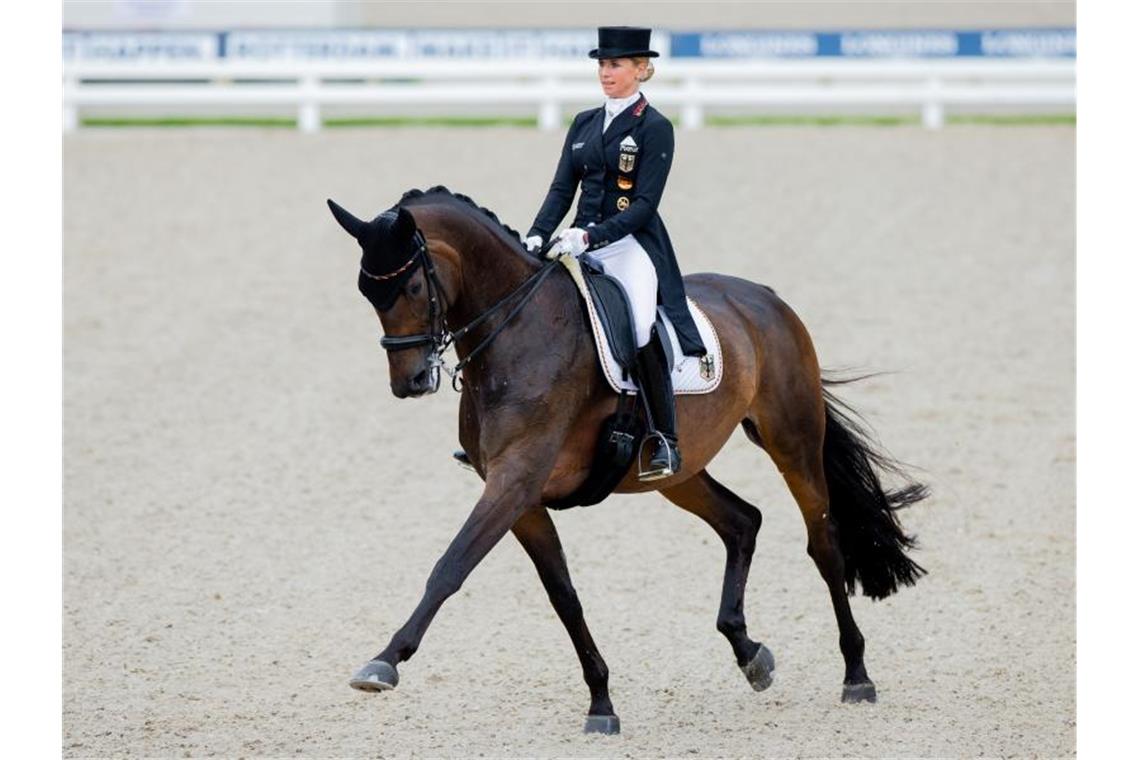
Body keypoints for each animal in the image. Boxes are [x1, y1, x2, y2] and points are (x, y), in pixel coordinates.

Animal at [328, 186, 925, 733]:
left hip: (792, 442)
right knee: (742, 521)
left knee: (823, 543)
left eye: (410, 286)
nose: (409, 382)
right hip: (678, 471)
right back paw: (750, 653)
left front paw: (384, 662)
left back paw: (856, 675)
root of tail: (764, 298)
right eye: (365, 291)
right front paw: (601, 703)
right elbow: (563, 596)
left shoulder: (514, 481)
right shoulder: (521, 497)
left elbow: (450, 567)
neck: (518, 333)